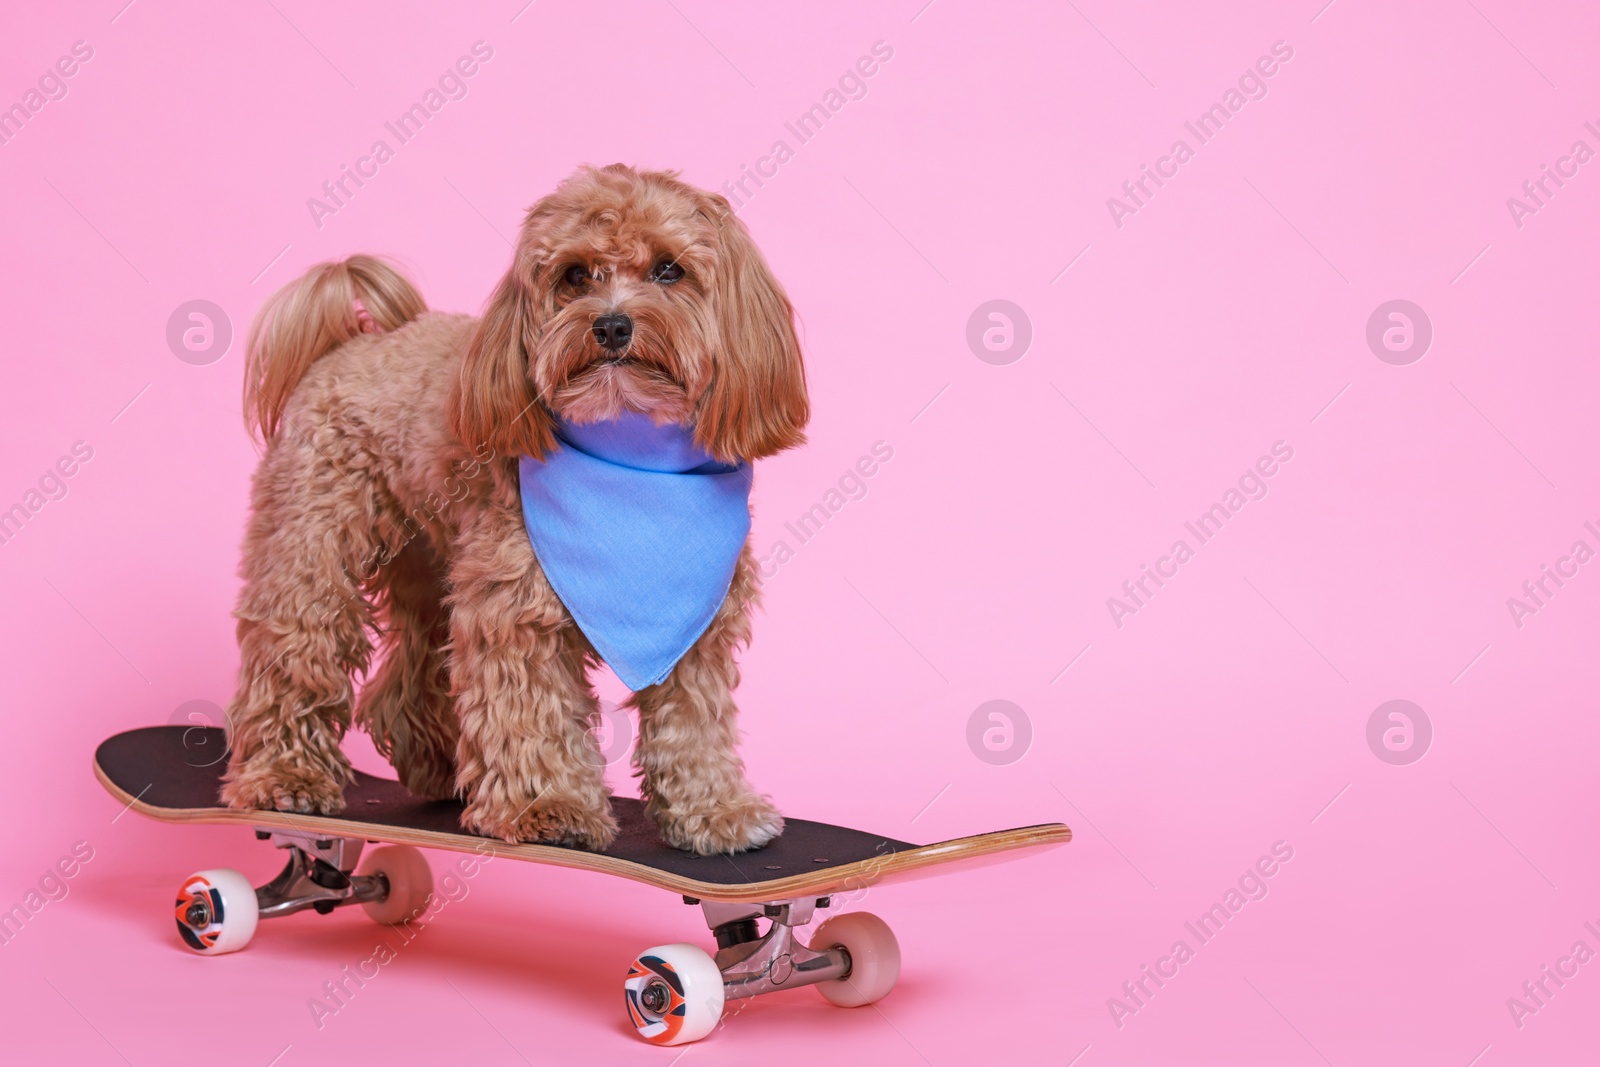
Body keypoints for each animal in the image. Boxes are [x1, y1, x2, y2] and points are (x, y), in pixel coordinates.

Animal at [219, 163, 806, 857]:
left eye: (669, 270)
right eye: (574, 276)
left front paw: (715, 810)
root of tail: (355, 341)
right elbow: (530, 707)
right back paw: (286, 775)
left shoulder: (694, 623)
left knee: (416, 666)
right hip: (312, 548)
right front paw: (548, 805)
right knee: (296, 651)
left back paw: (439, 766)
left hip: (432, 563)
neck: (631, 450)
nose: (611, 326)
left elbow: (694, 720)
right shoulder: (514, 608)